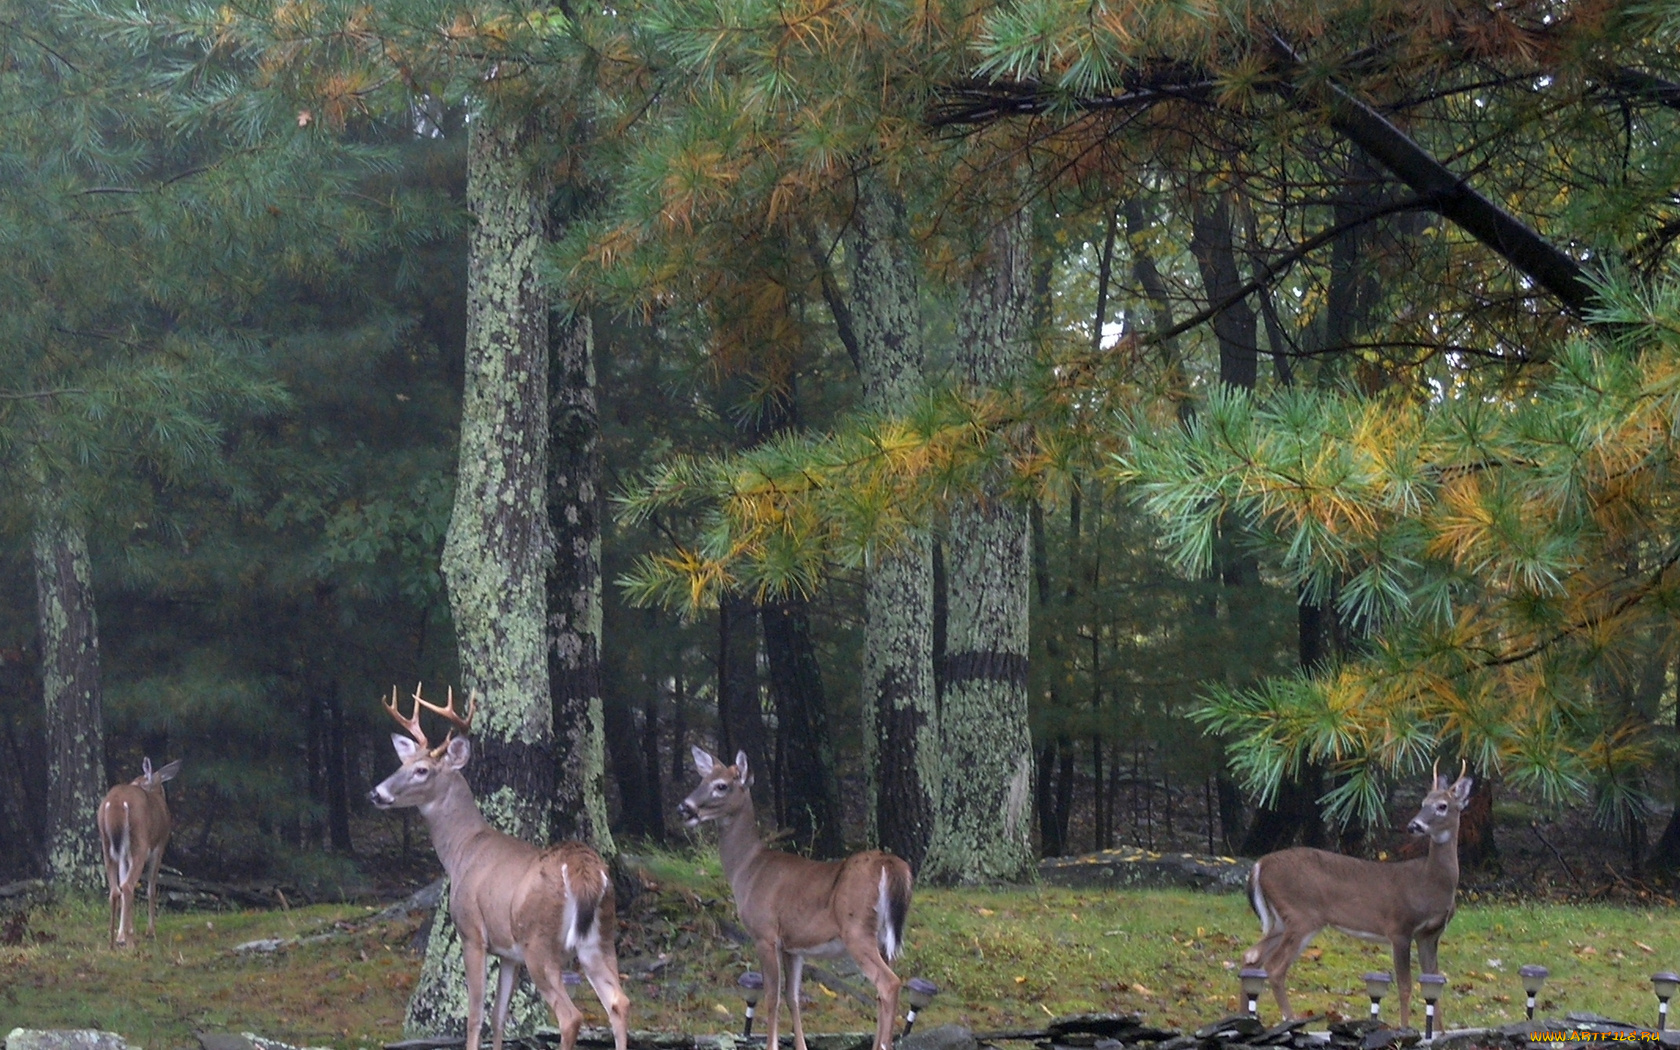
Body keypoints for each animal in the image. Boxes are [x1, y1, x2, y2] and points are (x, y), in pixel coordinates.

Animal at [97, 756, 182, 949]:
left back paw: (113, 942)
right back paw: (131, 942)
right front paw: (150, 932)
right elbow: (151, 888)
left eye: (138, 780)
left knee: (116, 889)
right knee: (128, 886)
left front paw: (121, 935)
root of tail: (116, 803)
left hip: (106, 844)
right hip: (140, 844)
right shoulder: (159, 846)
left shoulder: (123, 855)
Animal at [368, 685, 629, 1050]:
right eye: (401, 763)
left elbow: (475, 1015)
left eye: (422, 770)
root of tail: (586, 871)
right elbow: (498, 1017)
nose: (376, 793)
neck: (462, 850)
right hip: (600, 938)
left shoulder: (472, 933)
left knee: (571, 1016)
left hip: (540, 942)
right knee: (619, 1002)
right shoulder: (508, 952)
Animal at [680, 748, 913, 1050]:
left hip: (857, 929)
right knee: (881, 992)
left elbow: (772, 997)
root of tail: (891, 864)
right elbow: (793, 997)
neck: (748, 868)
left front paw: (771, 1044)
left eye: (721, 785)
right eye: (702, 779)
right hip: (886, 938)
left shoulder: (765, 933)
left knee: (889, 984)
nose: (684, 808)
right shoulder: (793, 946)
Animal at [1242, 764, 1473, 1030]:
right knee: (1274, 966)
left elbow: (1434, 983)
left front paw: (1439, 1032)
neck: (1430, 883)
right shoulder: (1399, 928)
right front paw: (1404, 1028)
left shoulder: (1429, 935)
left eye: (1442, 805)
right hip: (1301, 915)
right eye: (1423, 802)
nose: (1413, 826)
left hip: (1280, 920)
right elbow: (1405, 986)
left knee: (1251, 958)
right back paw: (1290, 1020)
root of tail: (1259, 865)